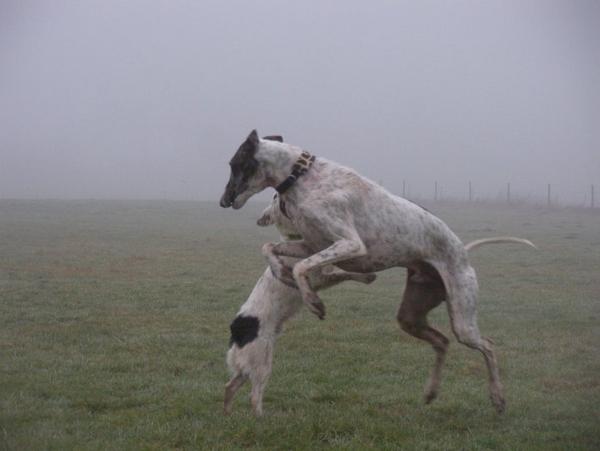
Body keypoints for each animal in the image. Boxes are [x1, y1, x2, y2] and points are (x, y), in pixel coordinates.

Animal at [219, 130, 536, 414]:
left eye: (234, 164)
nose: (223, 201)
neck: (304, 177)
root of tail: (464, 251)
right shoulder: (311, 243)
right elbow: (270, 248)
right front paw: (280, 273)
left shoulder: (349, 244)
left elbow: (300, 267)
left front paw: (313, 301)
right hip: (410, 315)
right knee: (442, 342)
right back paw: (431, 391)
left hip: (462, 319)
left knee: (488, 346)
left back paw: (497, 397)